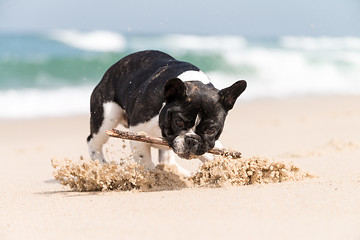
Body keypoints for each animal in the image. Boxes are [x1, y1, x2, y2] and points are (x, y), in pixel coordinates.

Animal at [87, 50, 246, 174]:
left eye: (211, 130)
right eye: (178, 122)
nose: (191, 139)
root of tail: (109, 72)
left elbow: (211, 151)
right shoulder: (138, 133)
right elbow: (144, 160)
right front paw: (153, 176)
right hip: (107, 118)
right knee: (94, 142)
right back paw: (101, 166)